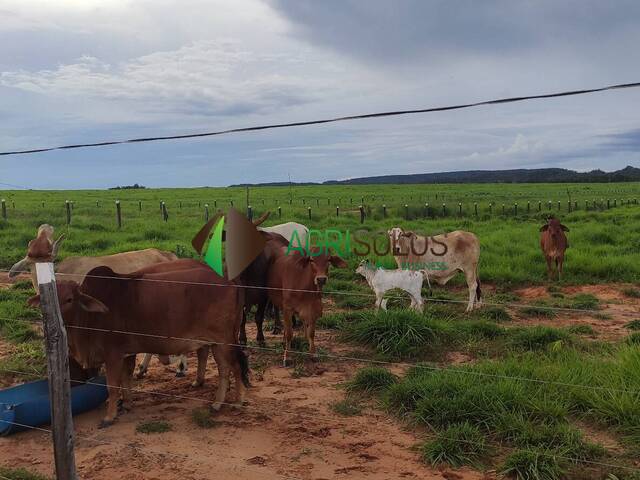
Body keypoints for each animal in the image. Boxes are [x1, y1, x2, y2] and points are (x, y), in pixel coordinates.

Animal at [28, 262, 248, 428]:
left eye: (69, 299)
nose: (49, 317)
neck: (90, 319)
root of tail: (229, 280)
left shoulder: (113, 355)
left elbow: (113, 386)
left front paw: (109, 416)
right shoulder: (127, 353)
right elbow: (126, 379)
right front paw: (127, 404)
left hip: (224, 340)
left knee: (234, 367)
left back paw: (234, 402)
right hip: (217, 342)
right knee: (224, 368)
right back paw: (218, 401)